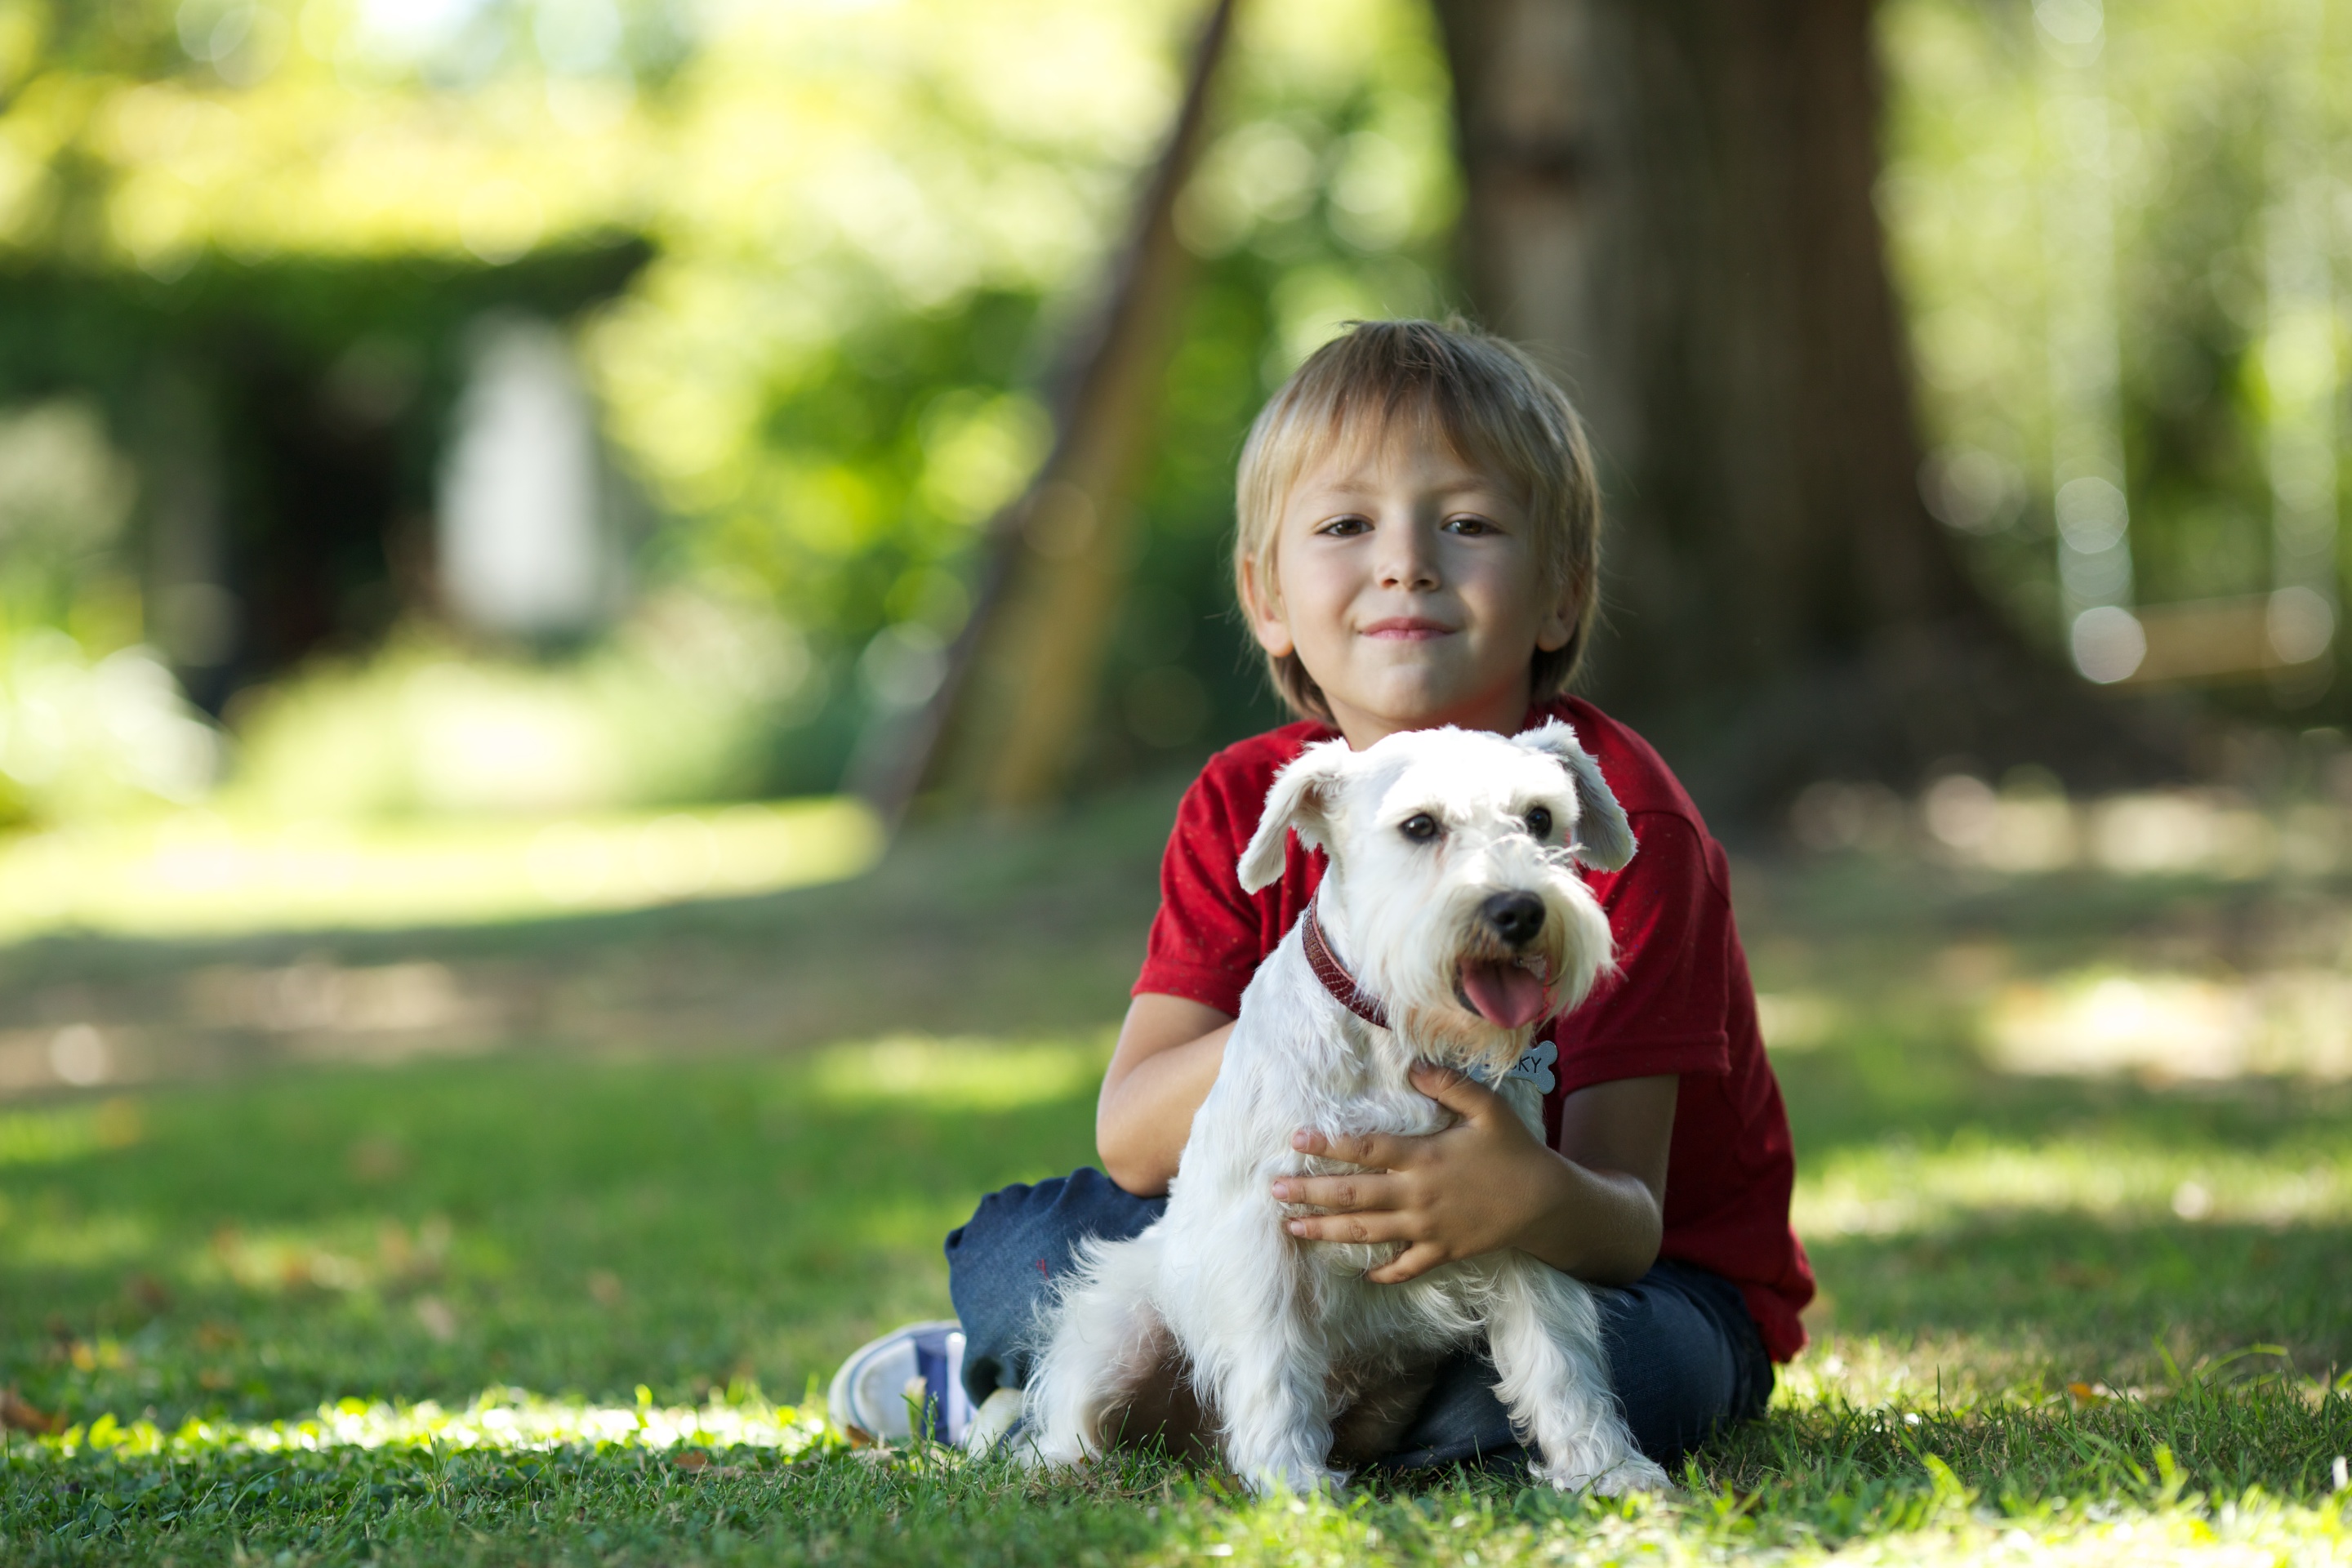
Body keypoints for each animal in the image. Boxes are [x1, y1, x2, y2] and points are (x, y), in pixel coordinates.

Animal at [1020, 719, 1665, 1494]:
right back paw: (1062, 1467)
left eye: (1540, 818)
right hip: (1118, 1329)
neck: (1394, 1041)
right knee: (1068, 1423)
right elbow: (1272, 1367)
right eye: (1419, 826)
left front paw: (1607, 1470)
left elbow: (1559, 1359)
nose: (1518, 910)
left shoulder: (1521, 1215)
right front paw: (1291, 1484)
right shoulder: (1267, 1231)